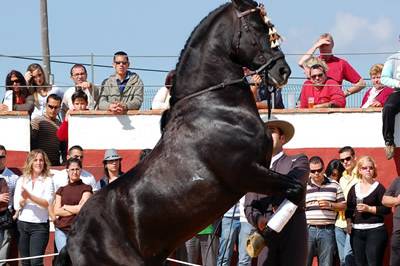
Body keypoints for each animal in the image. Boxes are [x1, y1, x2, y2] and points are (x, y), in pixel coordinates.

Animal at [57, 1, 304, 264]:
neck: (217, 107)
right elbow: (297, 190)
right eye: (256, 28)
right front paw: (261, 237)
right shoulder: (246, 172)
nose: (283, 71)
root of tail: (71, 241)